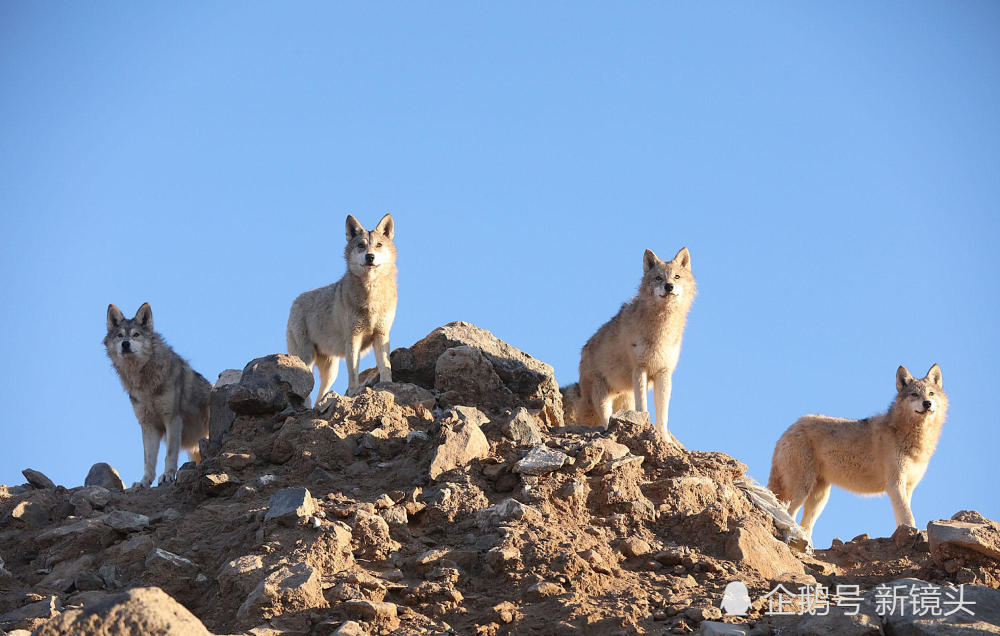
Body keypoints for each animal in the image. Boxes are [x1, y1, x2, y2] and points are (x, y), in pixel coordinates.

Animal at [104, 304, 210, 486]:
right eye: (119, 336)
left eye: (136, 335)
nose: (125, 344)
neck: (145, 383)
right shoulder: (148, 425)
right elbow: (148, 459)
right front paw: (144, 482)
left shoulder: (172, 418)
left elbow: (170, 454)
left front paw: (167, 475)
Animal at [286, 212, 398, 402]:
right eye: (361, 245)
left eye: (379, 245)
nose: (370, 256)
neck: (371, 296)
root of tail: (295, 301)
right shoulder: (353, 338)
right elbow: (353, 372)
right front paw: (353, 393)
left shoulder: (381, 335)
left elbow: (385, 365)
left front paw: (387, 385)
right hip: (306, 359)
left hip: (331, 370)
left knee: (320, 396)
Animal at [564, 245, 696, 442]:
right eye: (658, 278)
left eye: (677, 277)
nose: (669, 286)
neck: (660, 332)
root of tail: (583, 350)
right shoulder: (640, 368)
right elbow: (643, 407)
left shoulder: (663, 372)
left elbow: (663, 412)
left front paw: (664, 438)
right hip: (601, 396)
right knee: (605, 420)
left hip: (625, 398)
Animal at [768, 362, 948, 540]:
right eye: (914, 394)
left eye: (931, 393)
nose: (927, 403)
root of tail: (789, 429)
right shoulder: (895, 484)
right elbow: (907, 514)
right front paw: (912, 532)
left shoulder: (908, 486)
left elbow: (903, 514)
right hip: (802, 490)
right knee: (788, 513)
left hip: (820, 497)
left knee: (806, 526)